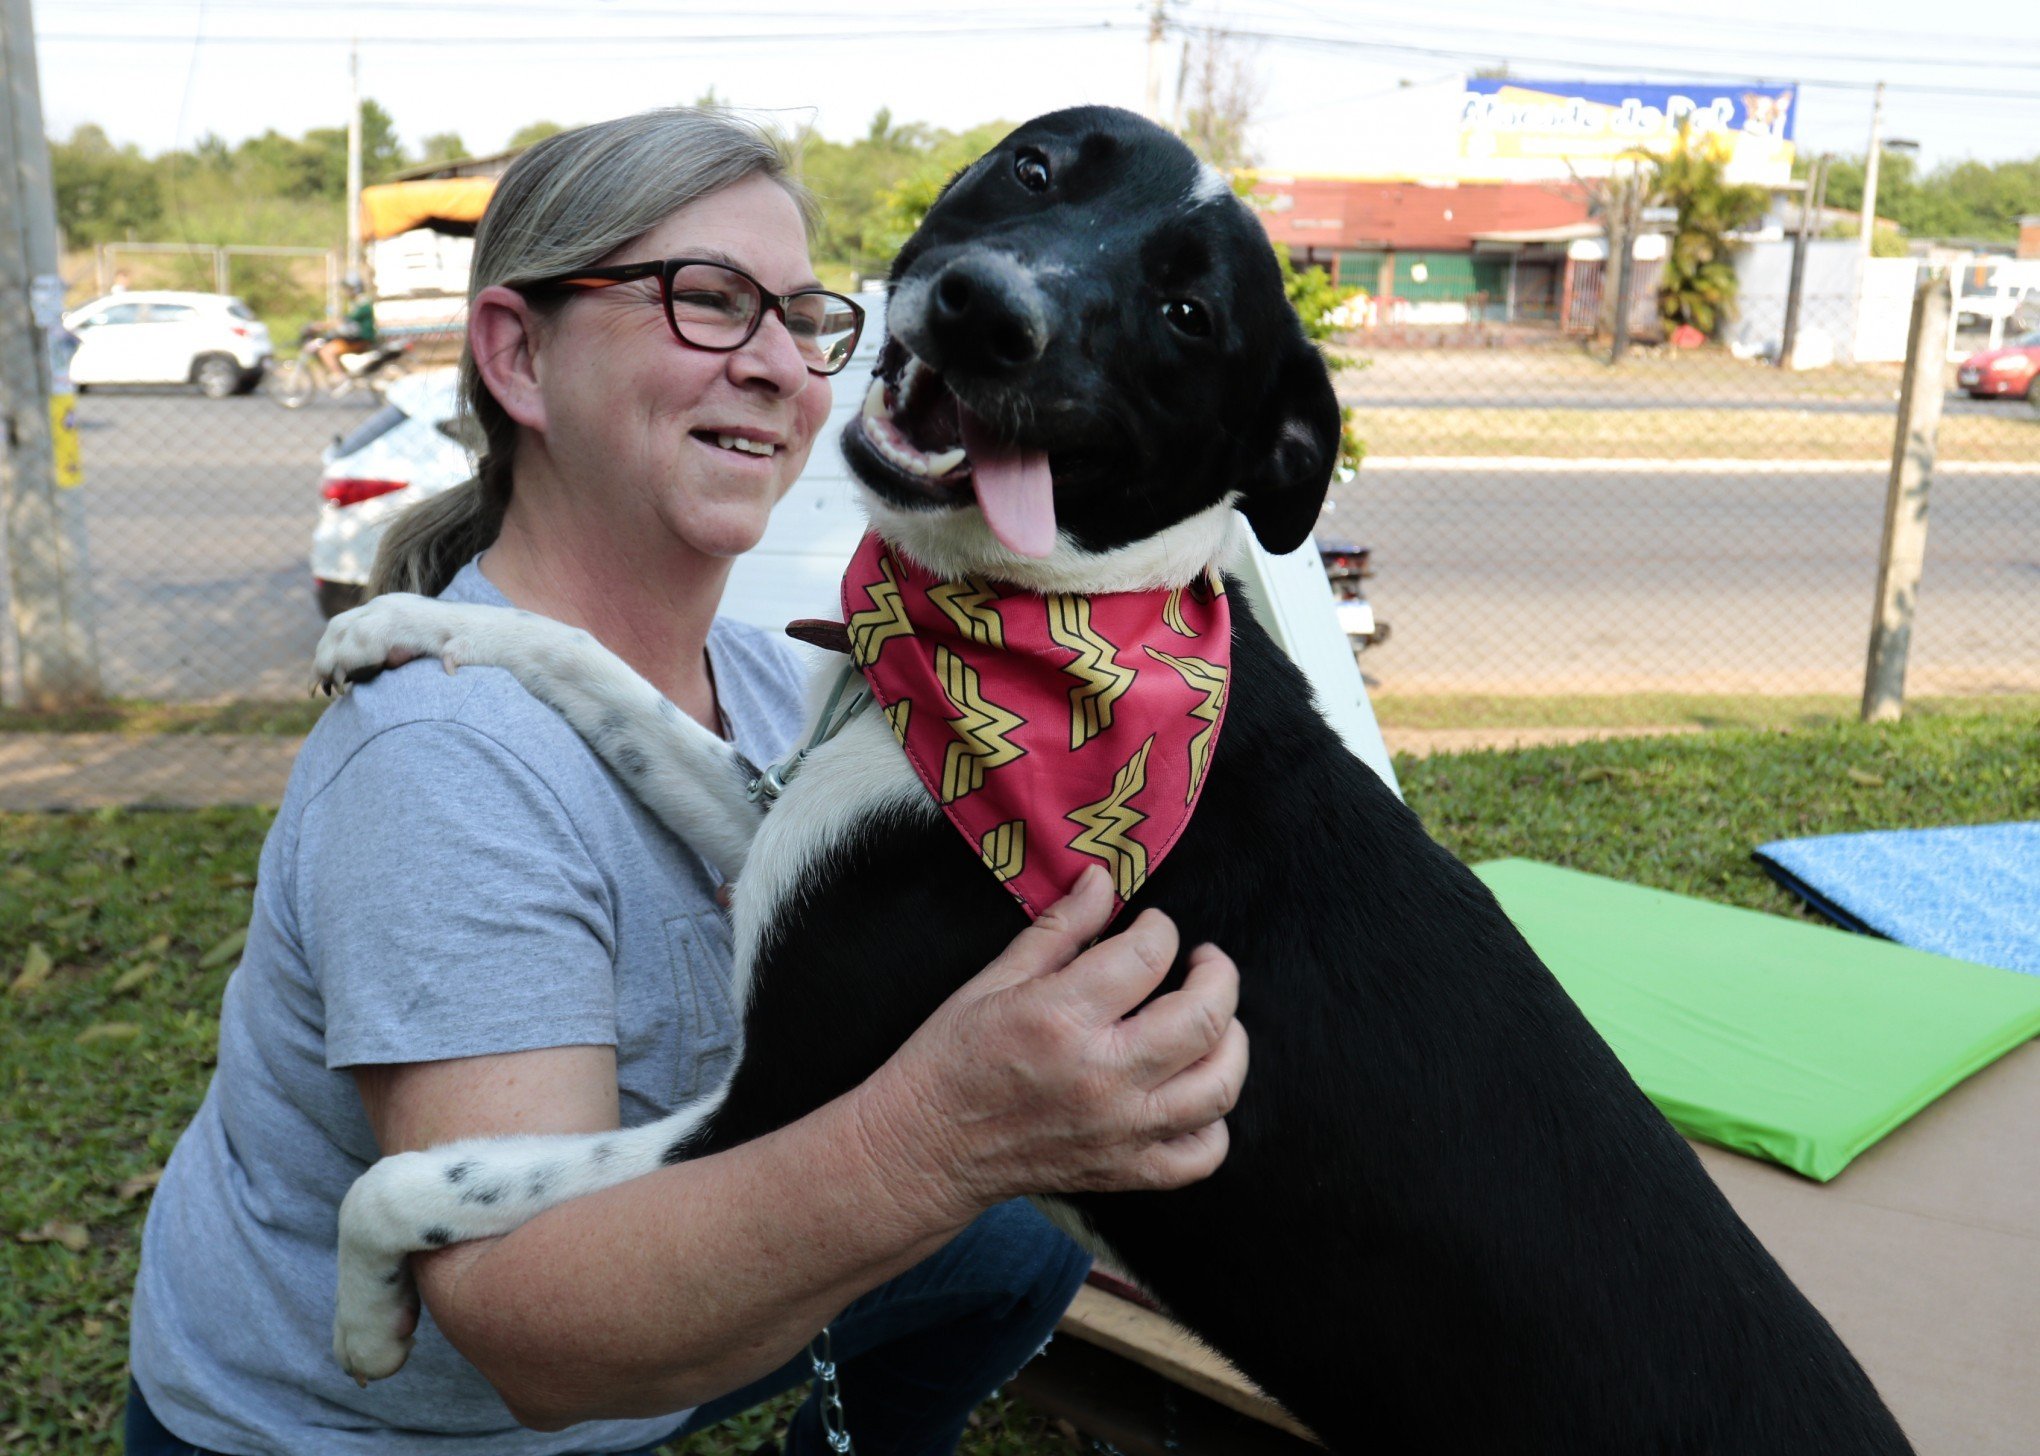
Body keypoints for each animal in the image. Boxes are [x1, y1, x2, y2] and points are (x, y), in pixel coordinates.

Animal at [318, 107, 1909, 1443]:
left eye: (1190, 315)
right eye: (1035, 168)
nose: (985, 310)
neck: (1017, 646)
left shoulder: (769, 1103)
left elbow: (417, 1176)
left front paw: (366, 1321)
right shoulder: (787, 816)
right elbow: (608, 675)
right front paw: (410, 626)